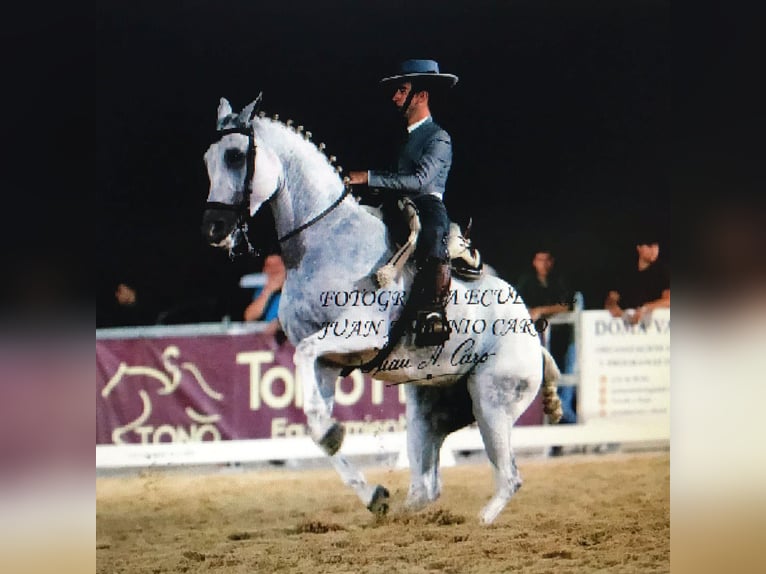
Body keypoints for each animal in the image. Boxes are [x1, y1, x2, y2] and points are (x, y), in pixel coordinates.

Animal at [202, 97, 564, 524]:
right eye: (207, 158)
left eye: (236, 156)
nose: (214, 228)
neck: (323, 241)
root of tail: (530, 332)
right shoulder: (328, 363)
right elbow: (315, 421)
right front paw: (372, 492)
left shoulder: (358, 334)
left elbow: (304, 355)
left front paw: (335, 436)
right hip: (428, 409)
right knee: (427, 487)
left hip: (491, 404)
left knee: (509, 477)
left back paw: (480, 522)